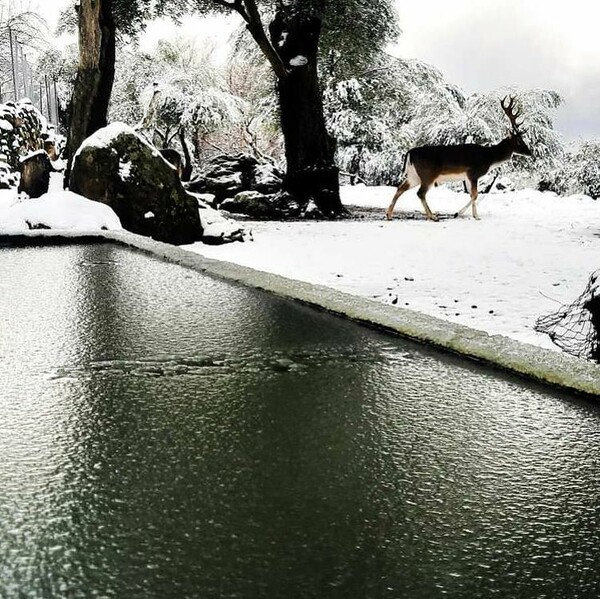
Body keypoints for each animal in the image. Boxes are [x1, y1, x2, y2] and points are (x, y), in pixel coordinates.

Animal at [384, 96, 528, 223]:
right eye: (519, 141)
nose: (530, 152)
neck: (489, 158)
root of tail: (410, 153)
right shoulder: (473, 173)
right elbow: (475, 195)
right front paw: (469, 215)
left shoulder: (467, 177)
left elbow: (472, 195)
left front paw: (469, 214)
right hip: (428, 174)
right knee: (420, 193)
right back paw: (433, 217)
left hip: (413, 175)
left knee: (400, 188)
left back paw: (389, 214)